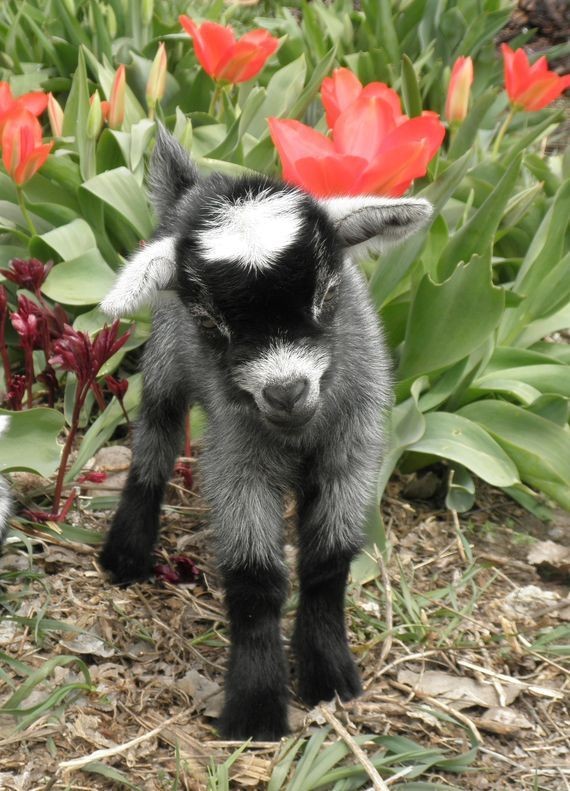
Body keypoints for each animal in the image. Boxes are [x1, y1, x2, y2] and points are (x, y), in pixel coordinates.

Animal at [100, 127, 428, 740]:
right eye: (209, 321)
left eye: (328, 293)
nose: (286, 391)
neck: (299, 431)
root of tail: (192, 187)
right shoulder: (237, 462)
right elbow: (256, 581)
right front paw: (255, 707)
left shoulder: (351, 451)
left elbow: (327, 562)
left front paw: (329, 673)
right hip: (163, 364)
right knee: (154, 447)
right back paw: (126, 551)